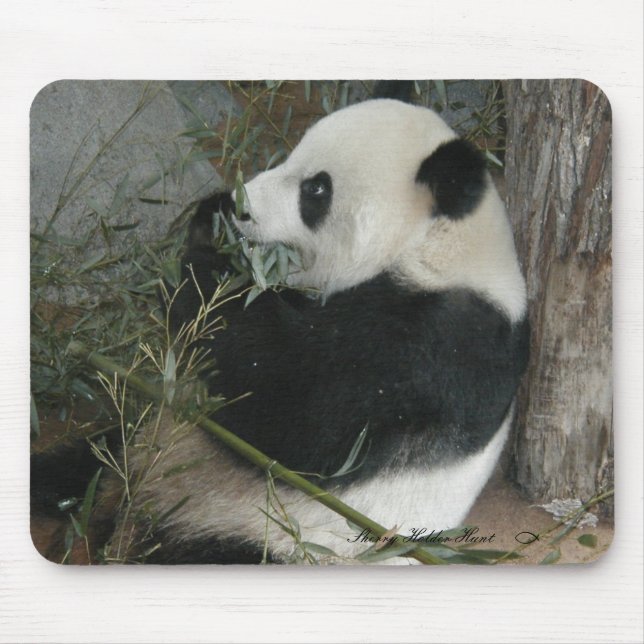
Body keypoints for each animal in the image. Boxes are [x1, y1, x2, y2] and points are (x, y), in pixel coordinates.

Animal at [103, 96, 529, 565]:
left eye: (316, 190)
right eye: (292, 152)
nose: (241, 206)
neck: (440, 244)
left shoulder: (434, 347)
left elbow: (291, 415)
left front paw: (206, 264)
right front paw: (213, 217)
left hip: (268, 539)